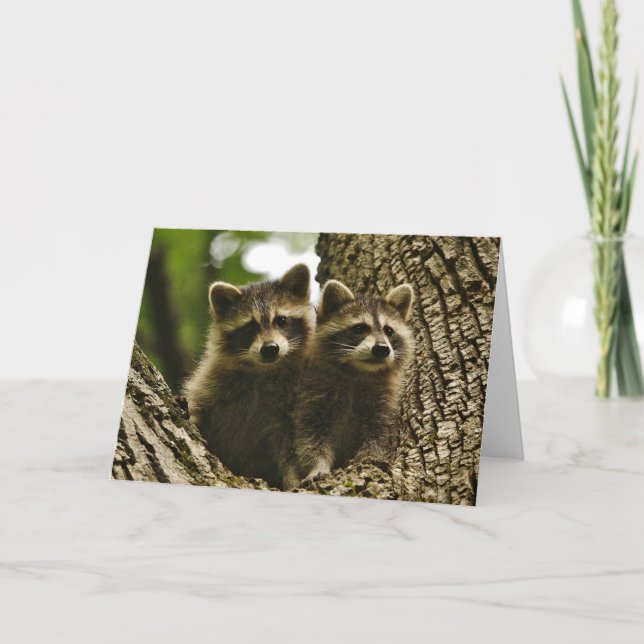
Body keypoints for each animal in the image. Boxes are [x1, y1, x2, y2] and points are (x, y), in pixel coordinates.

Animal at [183, 264, 315, 490]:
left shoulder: (294, 399)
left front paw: (293, 480)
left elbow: (290, 446)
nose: (270, 348)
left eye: (281, 320)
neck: (264, 370)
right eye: (250, 327)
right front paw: (192, 417)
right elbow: (200, 403)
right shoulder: (214, 379)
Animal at [294, 280, 415, 483]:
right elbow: (310, 437)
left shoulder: (382, 402)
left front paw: (367, 458)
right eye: (359, 328)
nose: (382, 349)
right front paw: (317, 465)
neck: (358, 372)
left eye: (389, 331)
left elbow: (377, 436)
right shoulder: (313, 391)